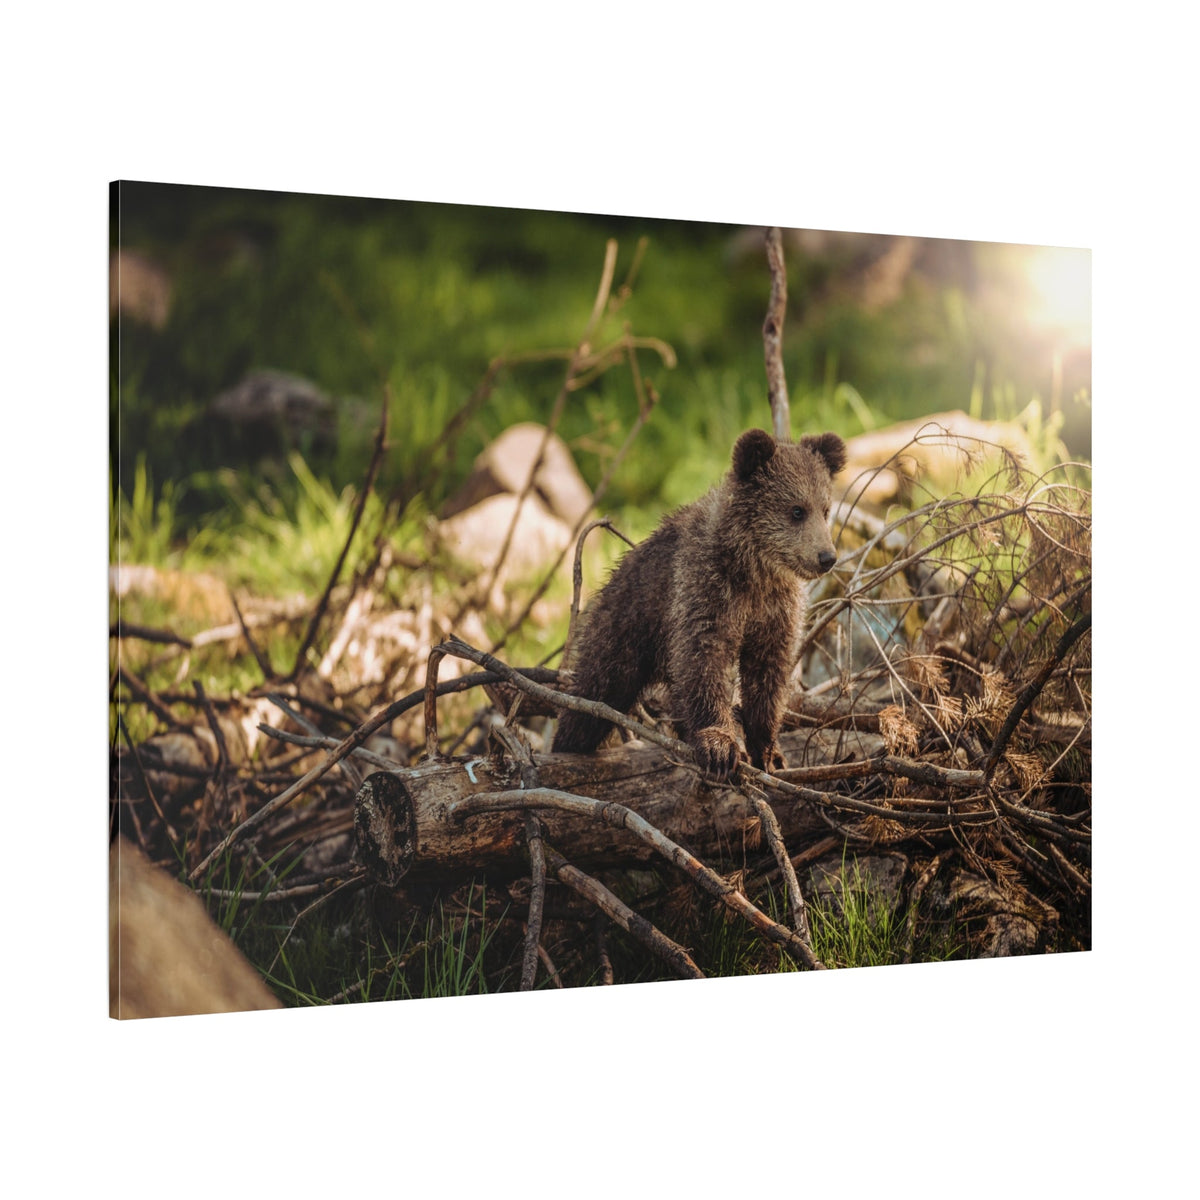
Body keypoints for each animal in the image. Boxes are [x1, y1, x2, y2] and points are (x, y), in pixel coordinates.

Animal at [552, 426, 847, 782]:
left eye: (826, 508)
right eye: (797, 510)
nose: (826, 557)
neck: (754, 569)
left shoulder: (775, 610)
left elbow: (767, 673)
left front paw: (769, 752)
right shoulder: (706, 588)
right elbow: (704, 659)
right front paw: (720, 745)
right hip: (624, 628)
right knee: (594, 694)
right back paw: (567, 745)